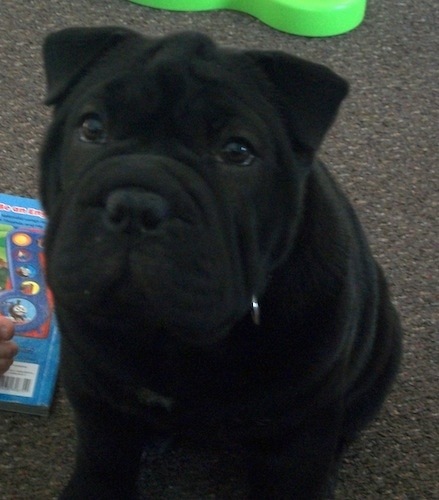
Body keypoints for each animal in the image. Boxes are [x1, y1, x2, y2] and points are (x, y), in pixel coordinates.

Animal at [39, 28, 404, 500]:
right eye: (92, 128)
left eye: (237, 151)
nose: (136, 204)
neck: (173, 337)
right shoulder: (95, 393)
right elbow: (103, 458)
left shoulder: (301, 430)